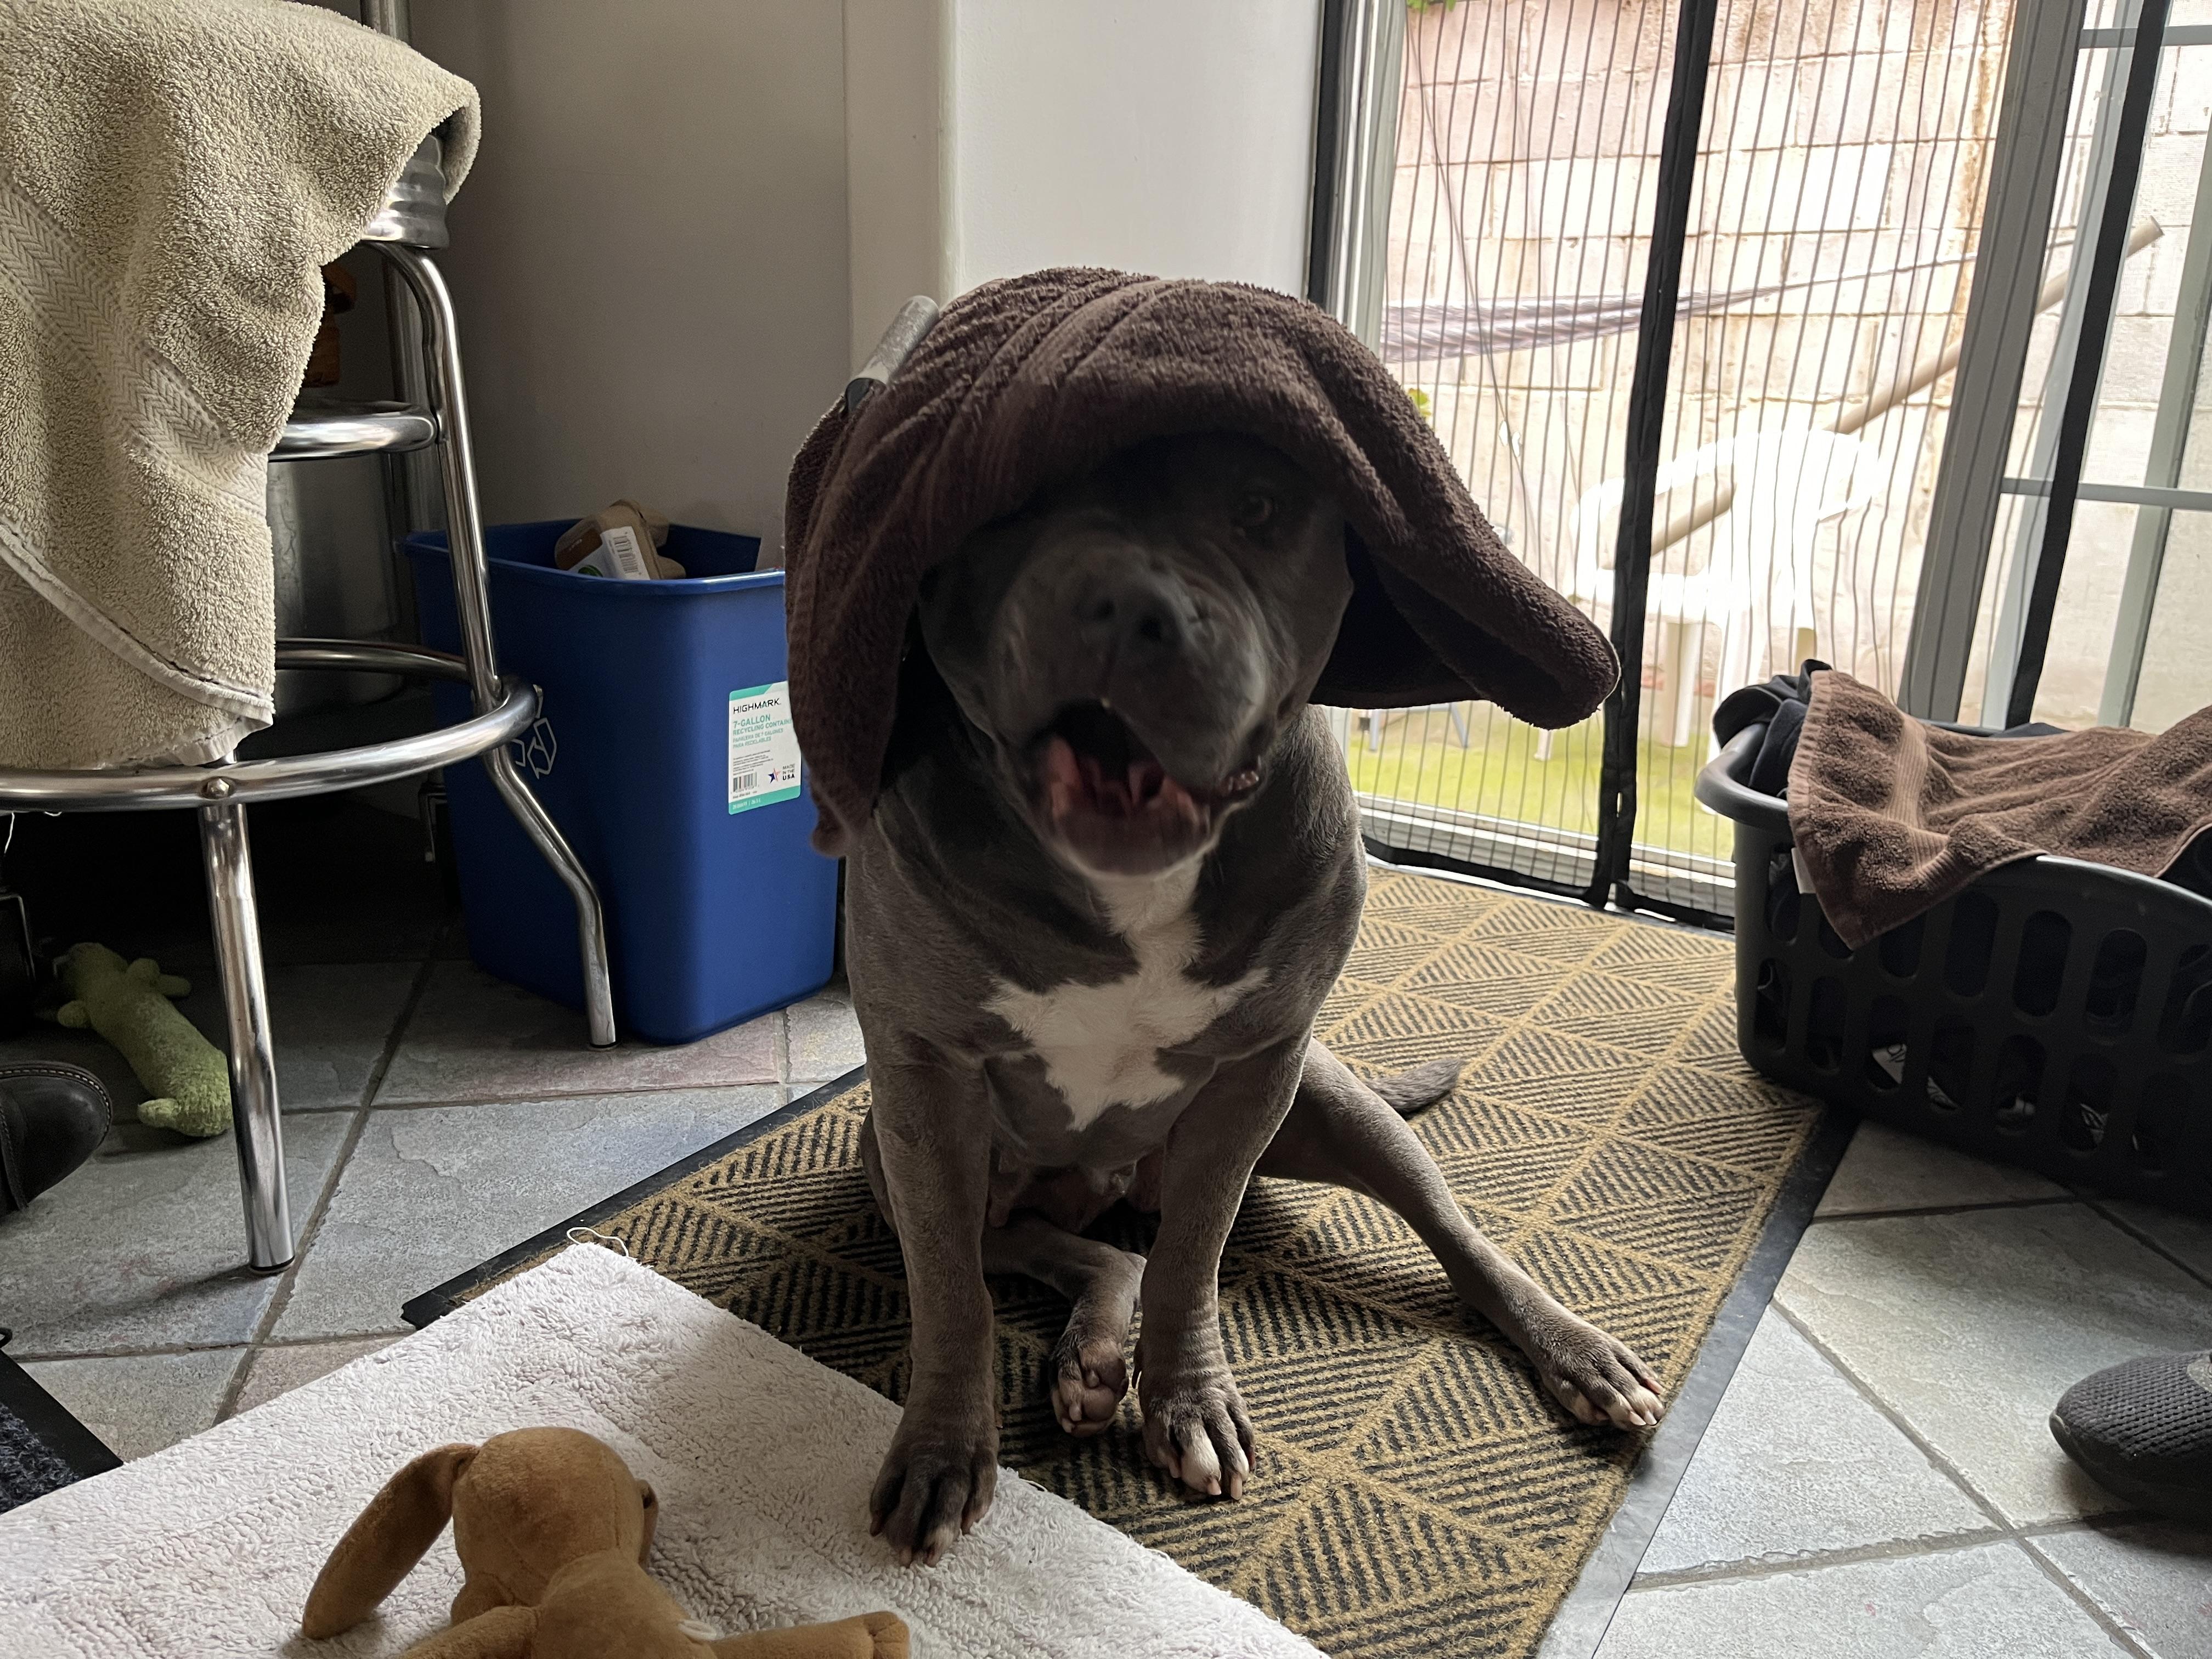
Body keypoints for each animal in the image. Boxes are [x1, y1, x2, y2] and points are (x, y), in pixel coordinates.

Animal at [845, 431, 1663, 1575]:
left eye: (1260, 505)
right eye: (1007, 502)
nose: (1126, 602)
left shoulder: (1259, 1073)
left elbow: (1193, 1252)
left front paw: (1186, 1400)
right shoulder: (923, 1083)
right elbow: (952, 1293)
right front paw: (943, 1449)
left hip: (1340, 1108)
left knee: (1457, 1237)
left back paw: (1577, 1350)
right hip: (899, 1162)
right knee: (1073, 1248)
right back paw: (1090, 1352)